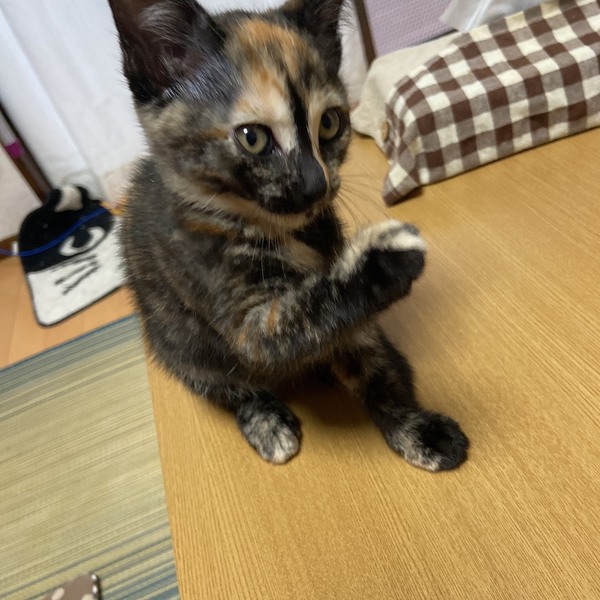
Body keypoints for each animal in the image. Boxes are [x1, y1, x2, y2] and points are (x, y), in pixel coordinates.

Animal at [108, 0, 469, 469]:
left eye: (330, 124)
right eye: (253, 138)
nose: (317, 184)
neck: (281, 232)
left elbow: (374, 360)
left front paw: (415, 427)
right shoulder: (239, 317)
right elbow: (296, 321)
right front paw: (381, 260)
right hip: (180, 345)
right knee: (226, 385)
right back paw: (266, 421)